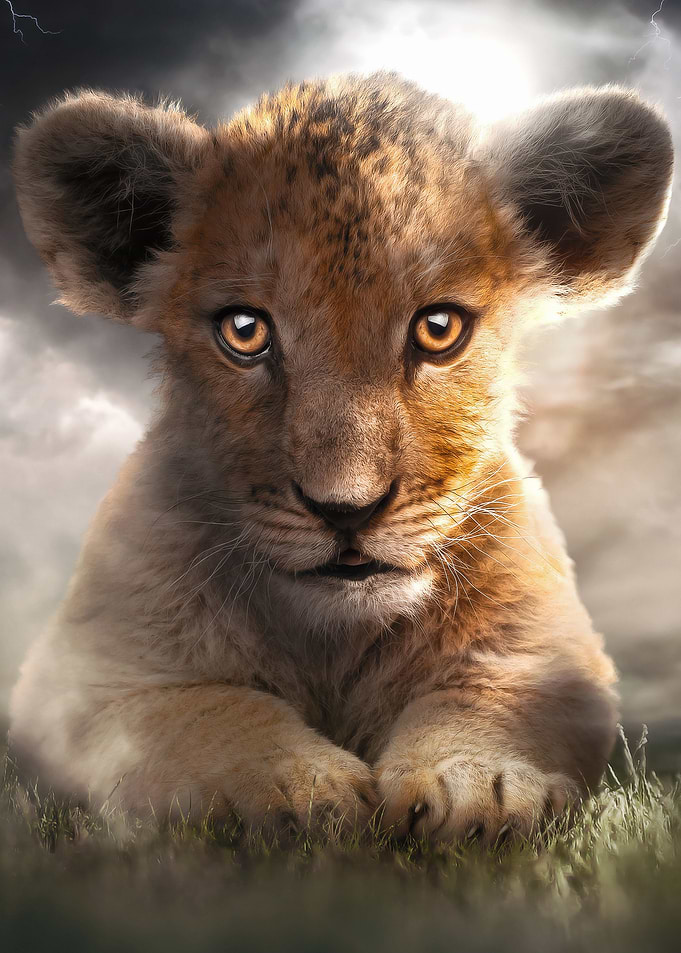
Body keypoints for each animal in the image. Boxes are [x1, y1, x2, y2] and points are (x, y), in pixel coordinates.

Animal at [9, 73, 673, 843]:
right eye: (244, 331)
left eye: (438, 328)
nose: (346, 510)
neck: (335, 638)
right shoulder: (83, 677)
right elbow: (206, 711)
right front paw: (302, 788)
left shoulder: (550, 653)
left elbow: (483, 700)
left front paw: (475, 785)